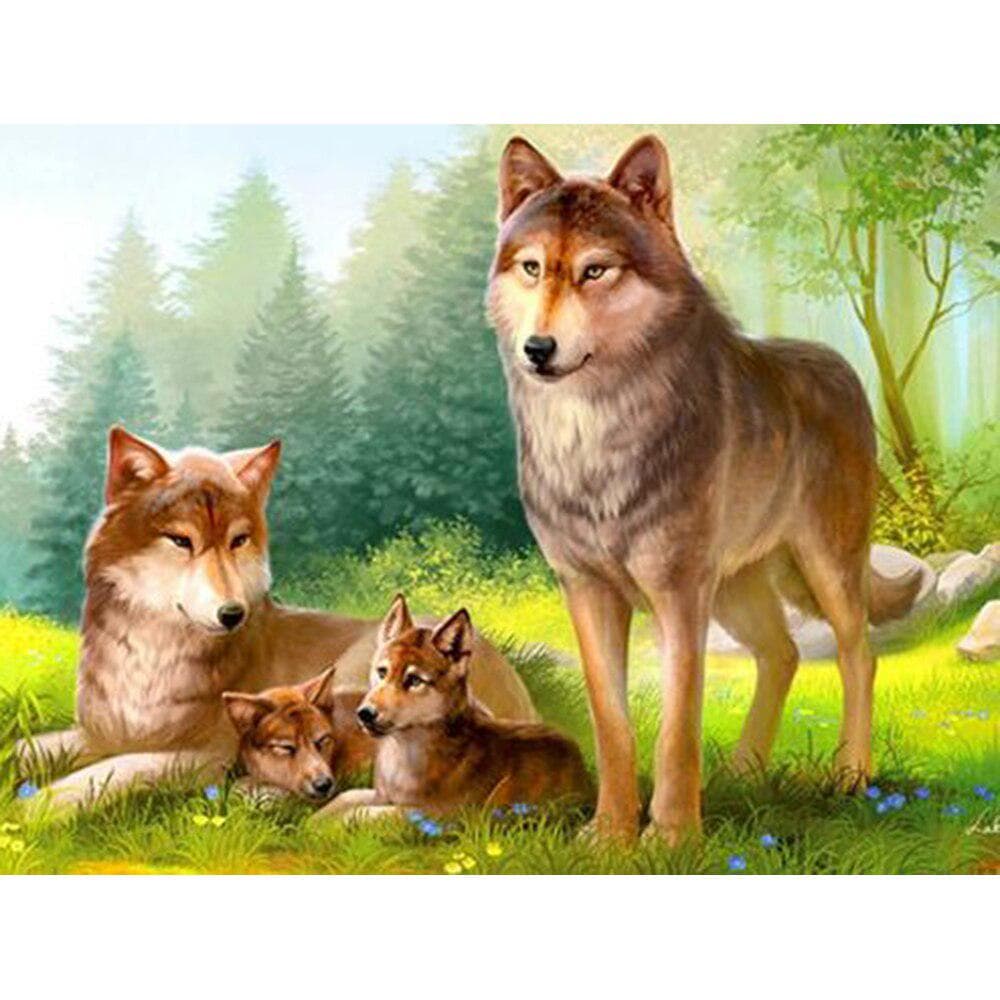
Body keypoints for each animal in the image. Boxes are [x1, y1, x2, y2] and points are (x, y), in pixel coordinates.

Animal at [314, 594, 591, 823]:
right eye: (382, 672)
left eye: (414, 680)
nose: (365, 714)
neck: (403, 750)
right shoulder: (381, 794)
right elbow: (344, 798)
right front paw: (313, 823)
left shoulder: (436, 813)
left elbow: (360, 814)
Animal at [487, 134, 921, 842]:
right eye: (531, 267)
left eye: (595, 271)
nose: (537, 348)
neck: (593, 439)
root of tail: (841, 366)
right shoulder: (586, 591)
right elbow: (613, 726)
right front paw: (609, 836)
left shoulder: (678, 593)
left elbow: (676, 730)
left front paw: (670, 839)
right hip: (738, 591)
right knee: (783, 655)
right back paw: (743, 771)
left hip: (823, 569)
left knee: (858, 655)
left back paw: (850, 775)